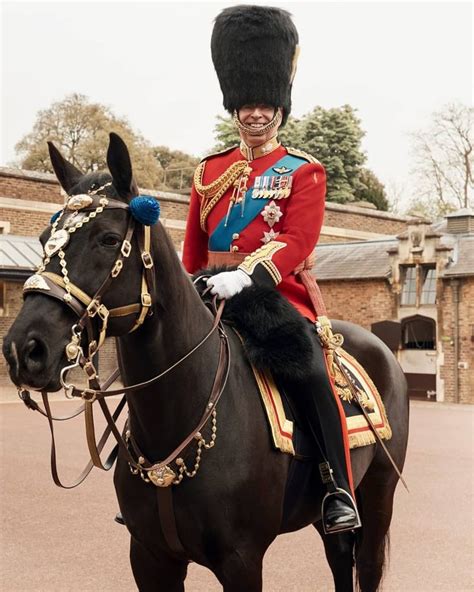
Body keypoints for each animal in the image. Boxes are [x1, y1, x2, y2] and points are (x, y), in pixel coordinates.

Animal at [2, 134, 408, 592]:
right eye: (43, 238)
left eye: (107, 238)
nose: (25, 349)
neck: (179, 415)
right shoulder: (149, 556)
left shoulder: (242, 561)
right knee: (340, 559)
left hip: (378, 493)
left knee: (366, 564)